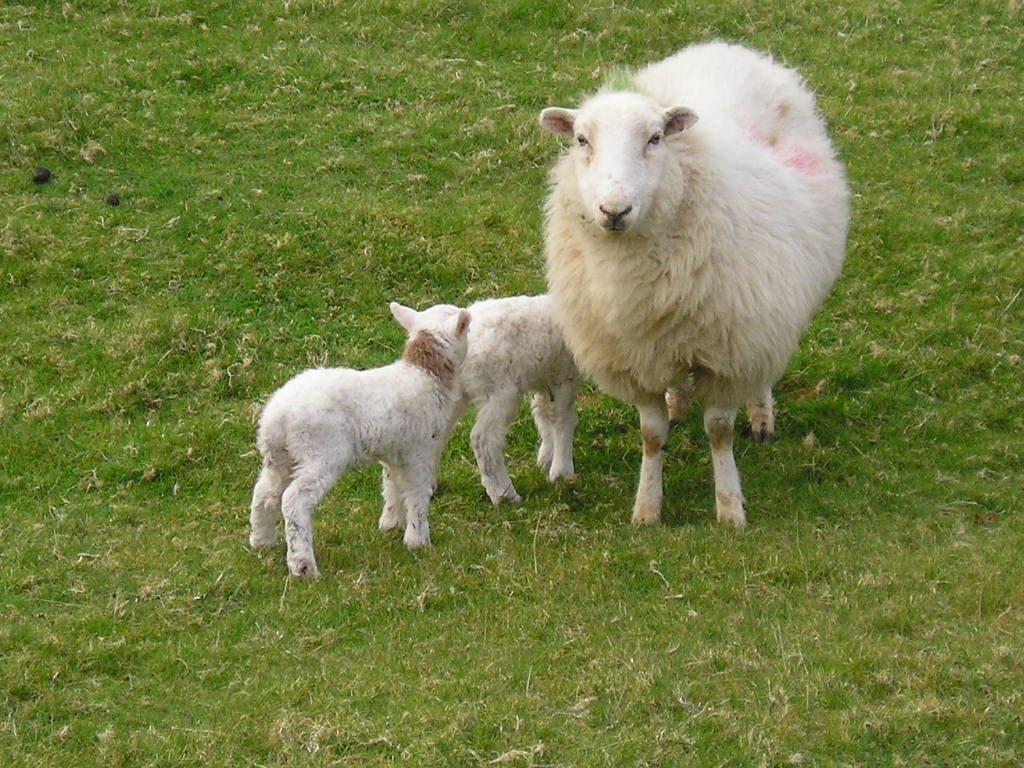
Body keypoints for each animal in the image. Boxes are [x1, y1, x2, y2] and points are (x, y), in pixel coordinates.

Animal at [247, 301, 471, 577]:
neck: (425, 373)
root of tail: (278, 414)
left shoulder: (393, 450)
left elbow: (392, 486)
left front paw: (391, 524)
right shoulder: (418, 451)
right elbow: (417, 493)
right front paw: (418, 540)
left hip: (278, 456)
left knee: (264, 492)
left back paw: (262, 540)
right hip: (321, 453)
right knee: (294, 501)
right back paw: (303, 566)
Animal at [454, 294, 581, 505]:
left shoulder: (545, 376)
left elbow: (544, 414)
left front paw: (546, 457)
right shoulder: (563, 375)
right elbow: (563, 419)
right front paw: (561, 472)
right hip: (499, 392)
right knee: (483, 439)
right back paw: (503, 494)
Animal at [540, 39, 851, 528]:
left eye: (655, 138)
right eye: (581, 140)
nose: (614, 210)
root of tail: (723, 47)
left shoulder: (729, 352)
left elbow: (719, 431)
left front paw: (729, 508)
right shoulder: (635, 357)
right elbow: (651, 436)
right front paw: (647, 508)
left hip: (764, 308)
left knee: (760, 373)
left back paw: (761, 417)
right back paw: (679, 402)